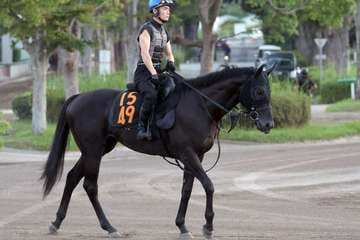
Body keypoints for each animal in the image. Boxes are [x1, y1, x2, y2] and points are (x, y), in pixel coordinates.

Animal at [40, 64, 274, 240]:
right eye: (259, 91)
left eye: (269, 91)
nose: (268, 124)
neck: (200, 105)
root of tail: (77, 98)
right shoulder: (187, 153)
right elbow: (208, 185)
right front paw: (208, 226)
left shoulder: (195, 156)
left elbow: (187, 189)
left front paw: (182, 226)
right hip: (93, 151)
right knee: (90, 186)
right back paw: (109, 226)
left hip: (96, 150)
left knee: (72, 178)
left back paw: (56, 222)